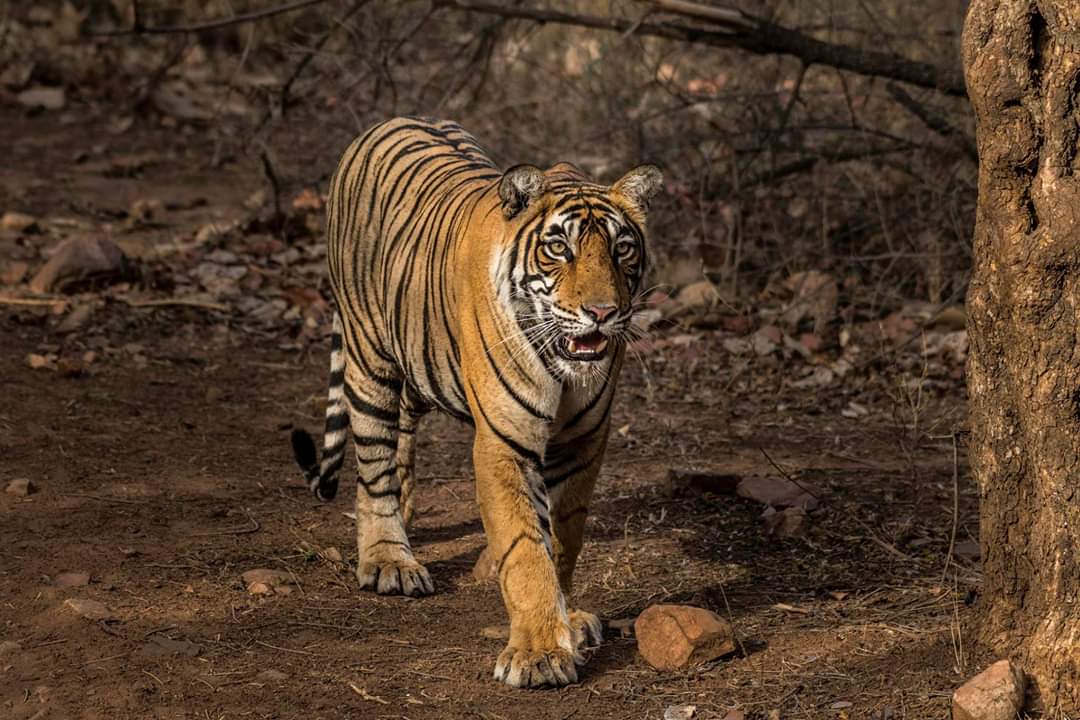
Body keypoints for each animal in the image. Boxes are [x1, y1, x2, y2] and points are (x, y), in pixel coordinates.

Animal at [291, 116, 662, 688]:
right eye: (560, 247)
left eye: (622, 248)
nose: (602, 312)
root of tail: (390, 120)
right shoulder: (504, 442)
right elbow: (525, 548)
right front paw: (538, 654)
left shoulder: (583, 443)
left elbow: (563, 537)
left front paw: (568, 622)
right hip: (368, 356)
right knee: (373, 461)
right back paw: (389, 559)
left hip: (418, 361)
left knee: (401, 434)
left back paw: (407, 514)